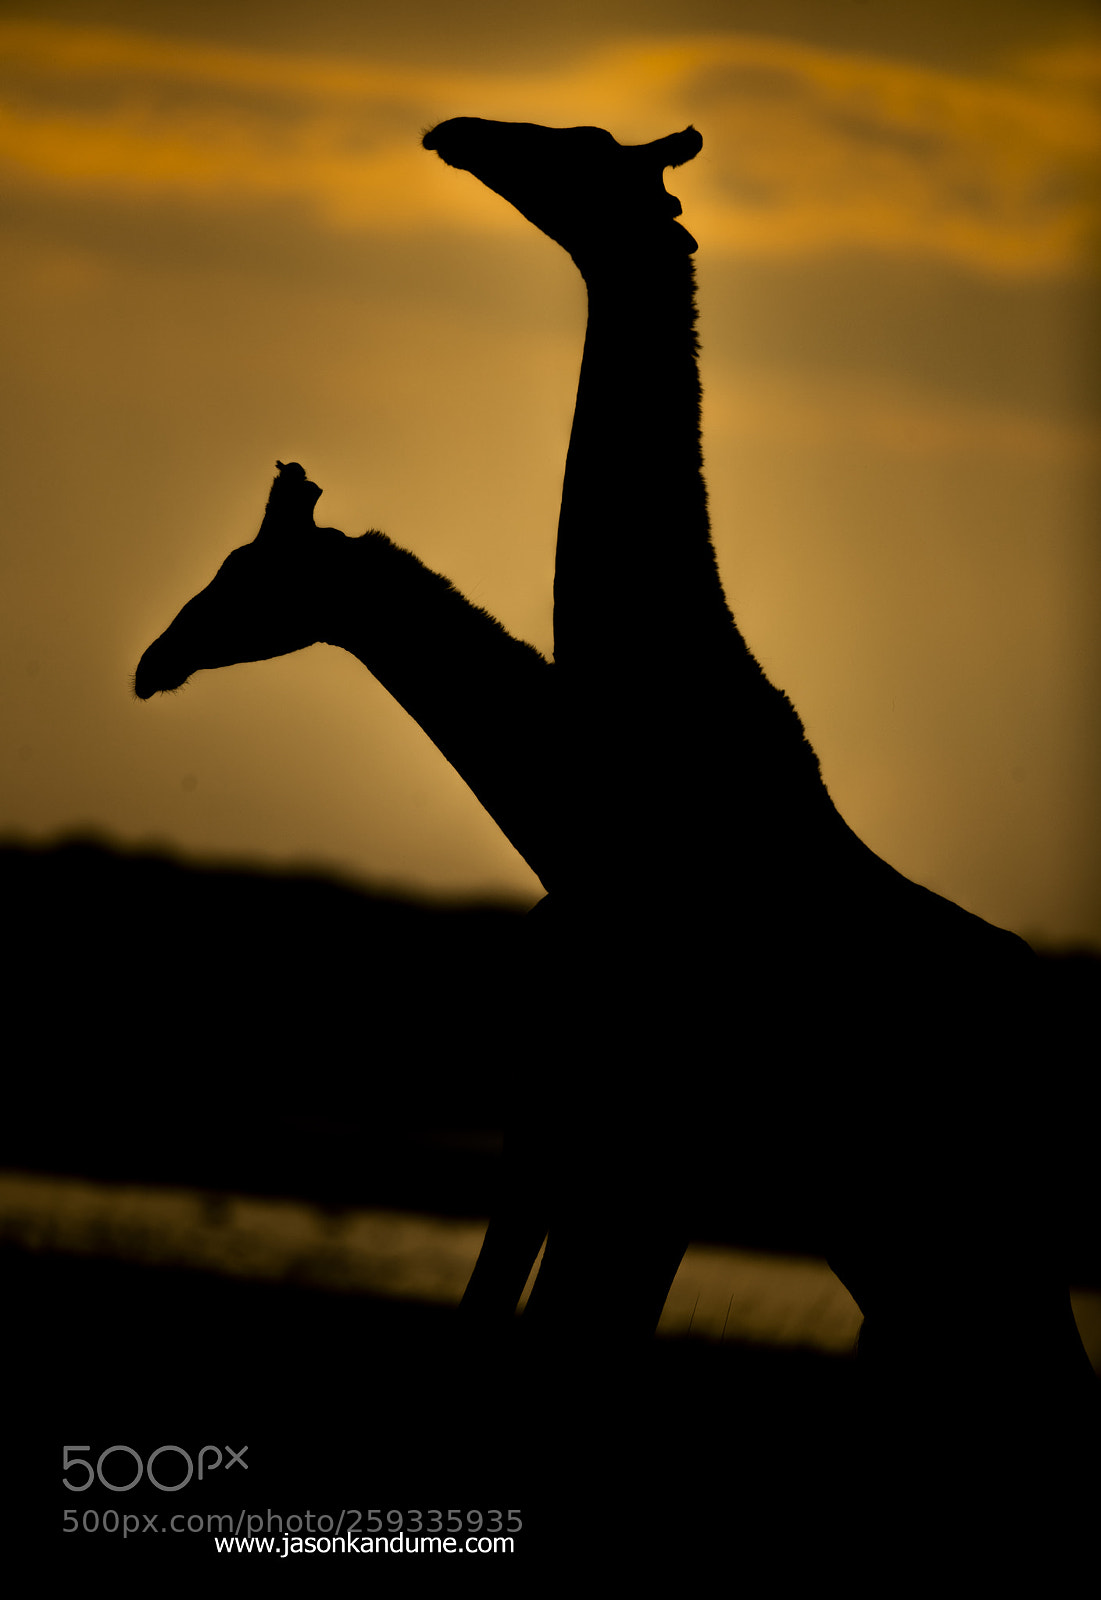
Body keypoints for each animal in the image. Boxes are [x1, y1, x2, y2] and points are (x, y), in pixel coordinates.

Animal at [135, 121, 1097, 1449]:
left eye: (581, 151)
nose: (153, 660)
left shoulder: (644, 1145)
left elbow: (563, 1342)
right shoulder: (567, 1128)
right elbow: (523, 1328)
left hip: (936, 1228)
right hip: (899, 1243)